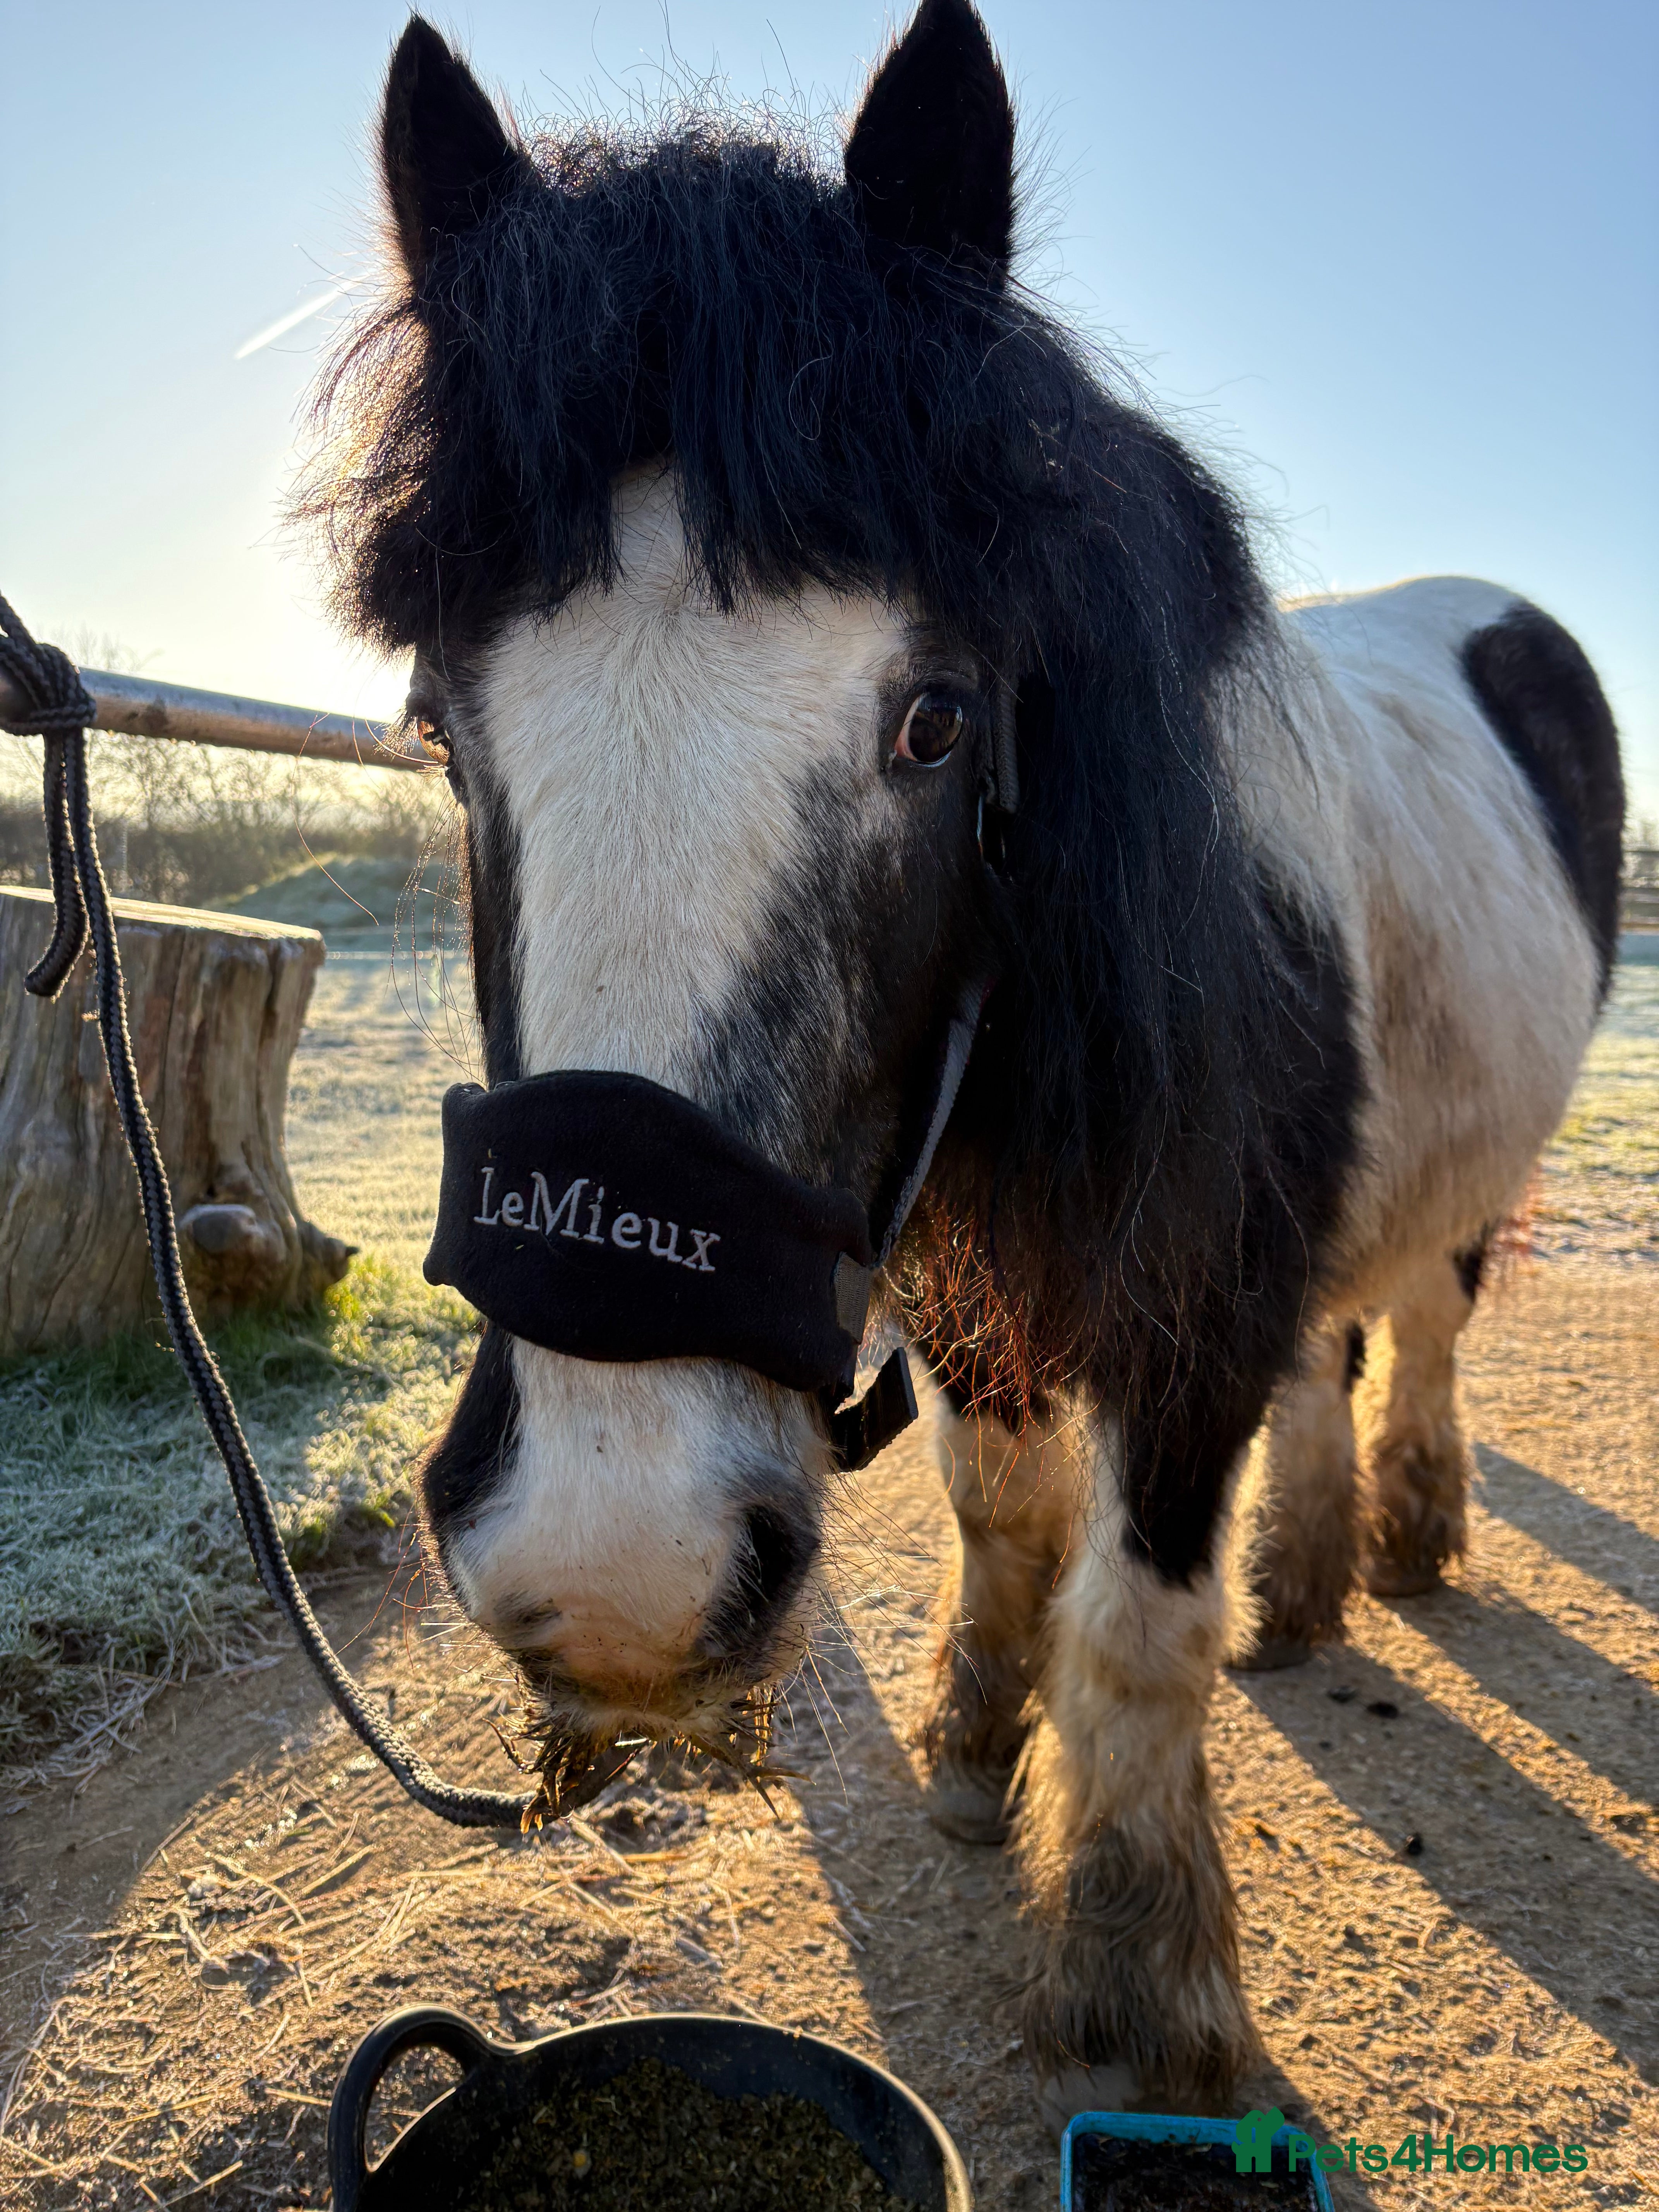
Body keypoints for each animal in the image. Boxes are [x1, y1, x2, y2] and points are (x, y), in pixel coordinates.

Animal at [299, 0, 1624, 2127]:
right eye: (438, 723)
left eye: (933, 722)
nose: (615, 1576)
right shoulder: (962, 1273)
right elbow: (1006, 1515)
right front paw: (972, 1743)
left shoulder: (1189, 1303)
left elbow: (1138, 1620)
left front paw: (1140, 1968)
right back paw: (1309, 1574)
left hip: (1456, 1173)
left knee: (1416, 1320)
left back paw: (1405, 1537)